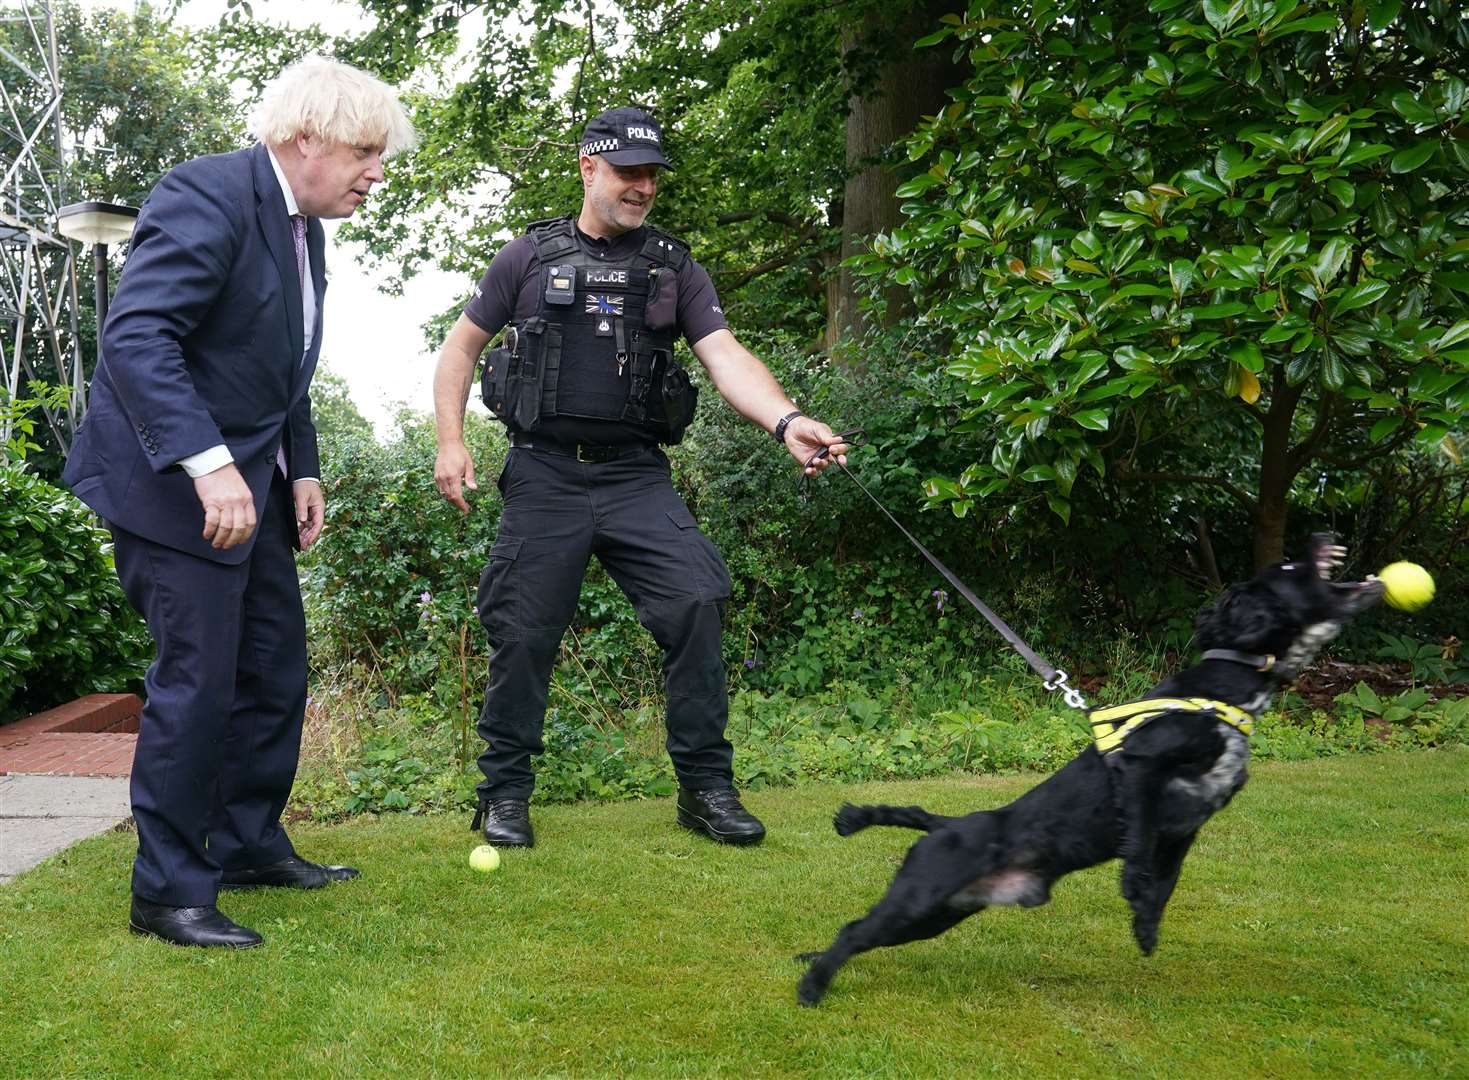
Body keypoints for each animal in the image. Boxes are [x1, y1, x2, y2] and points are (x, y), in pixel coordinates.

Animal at [799, 537, 1380, 1010]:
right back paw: (811, 988)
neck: (1227, 686)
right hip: (920, 897)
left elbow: (1167, 880)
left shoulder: (1187, 824)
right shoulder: (1141, 769)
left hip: (940, 913)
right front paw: (1135, 897)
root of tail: (947, 823)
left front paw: (1146, 925)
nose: (1321, 536)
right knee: (854, 931)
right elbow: (1140, 849)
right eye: (1289, 566)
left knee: (857, 930)